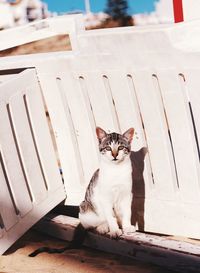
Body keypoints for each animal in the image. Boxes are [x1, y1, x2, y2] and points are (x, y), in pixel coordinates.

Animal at [28, 126, 135, 256]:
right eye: (108, 148)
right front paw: (114, 230)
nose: (114, 155)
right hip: (85, 207)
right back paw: (103, 226)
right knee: (92, 223)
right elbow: (110, 216)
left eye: (120, 147)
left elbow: (127, 213)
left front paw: (127, 226)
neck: (116, 170)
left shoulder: (127, 195)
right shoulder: (105, 197)